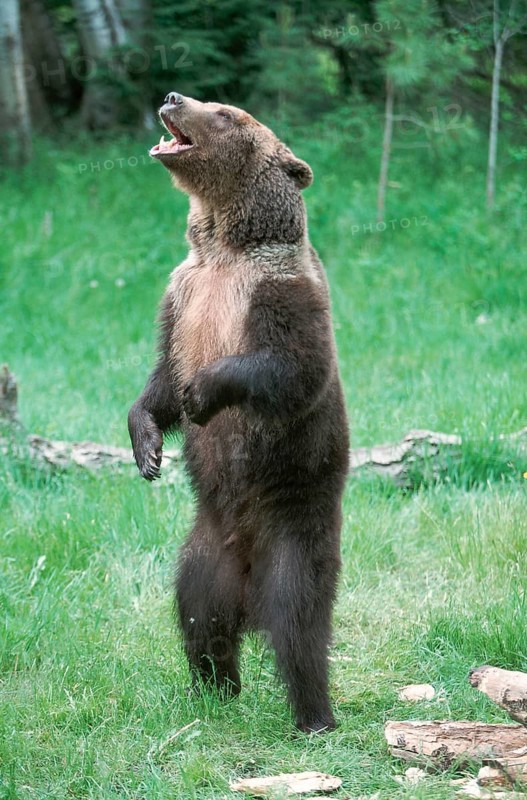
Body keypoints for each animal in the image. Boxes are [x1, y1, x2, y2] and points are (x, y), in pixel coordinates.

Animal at [128, 92, 349, 733]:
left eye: (224, 113)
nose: (173, 96)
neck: (226, 249)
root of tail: (247, 586)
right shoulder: (183, 298)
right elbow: (160, 378)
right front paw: (147, 445)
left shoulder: (276, 293)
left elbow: (291, 369)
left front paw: (202, 393)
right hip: (204, 556)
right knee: (197, 618)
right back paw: (213, 688)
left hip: (295, 527)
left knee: (299, 624)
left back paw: (315, 715)